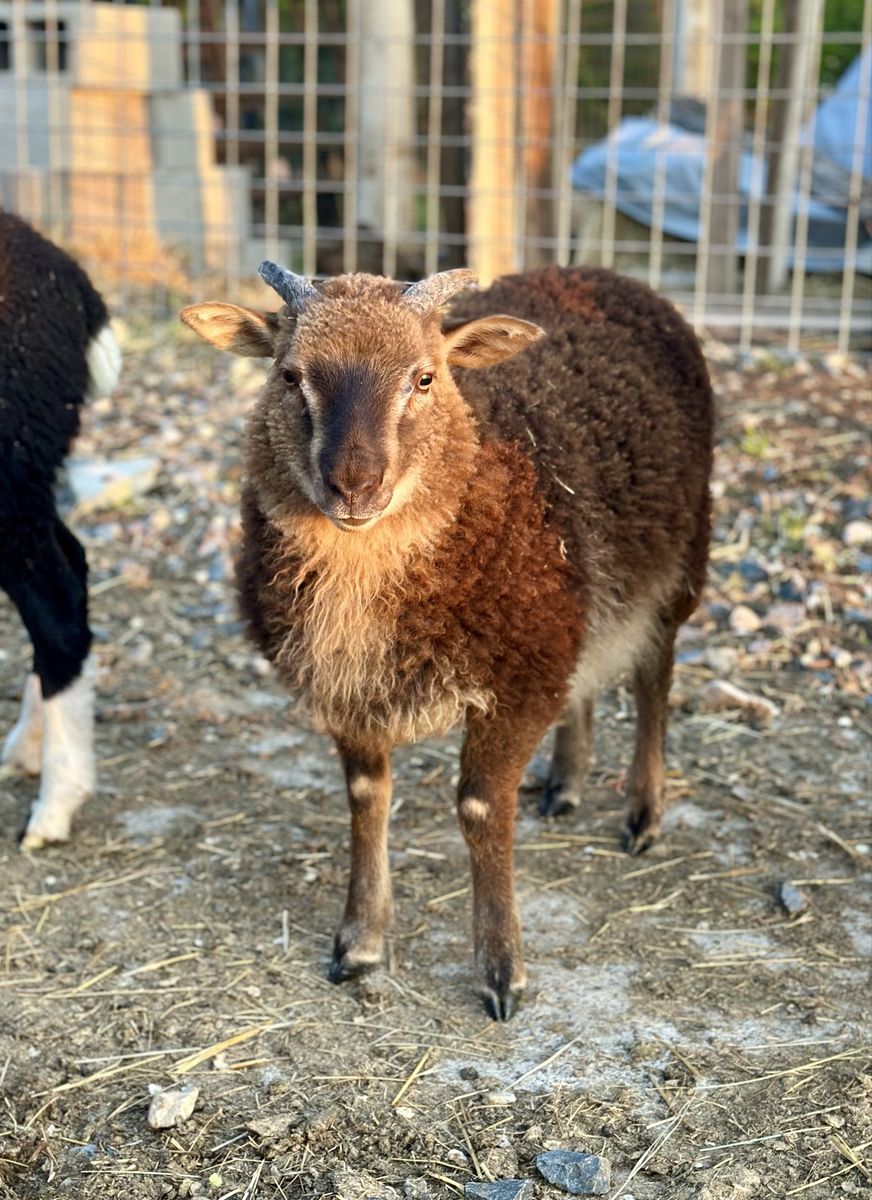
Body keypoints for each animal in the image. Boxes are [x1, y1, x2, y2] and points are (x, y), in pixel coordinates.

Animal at [180, 262, 713, 1019]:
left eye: (425, 378)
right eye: (289, 375)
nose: (353, 485)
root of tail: (602, 271)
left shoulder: (516, 680)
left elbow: (481, 809)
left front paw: (501, 971)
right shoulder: (353, 687)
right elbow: (367, 798)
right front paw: (360, 943)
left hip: (680, 551)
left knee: (654, 676)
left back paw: (642, 812)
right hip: (573, 598)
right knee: (587, 673)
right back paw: (566, 783)